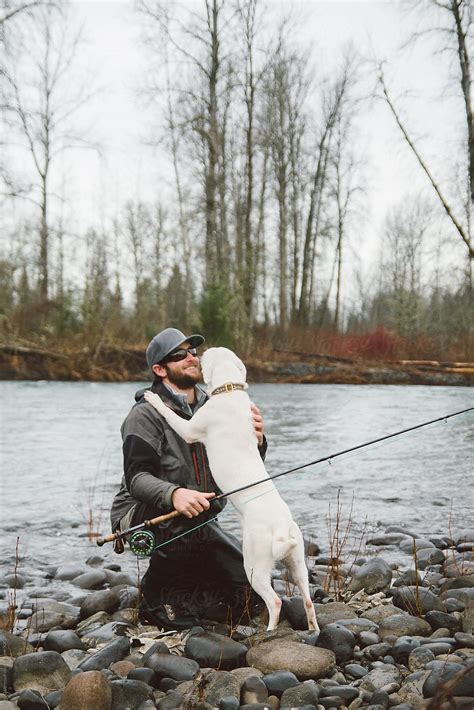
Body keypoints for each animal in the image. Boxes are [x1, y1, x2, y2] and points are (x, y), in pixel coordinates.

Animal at [144, 348, 318, 632]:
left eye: (202, 355)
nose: (198, 353)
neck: (229, 389)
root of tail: (281, 527)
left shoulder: (189, 429)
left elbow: (171, 416)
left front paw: (153, 399)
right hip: (297, 562)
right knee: (308, 599)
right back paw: (313, 629)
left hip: (255, 566)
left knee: (275, 601)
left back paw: (269, 631)